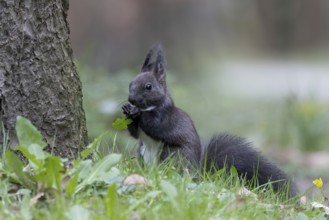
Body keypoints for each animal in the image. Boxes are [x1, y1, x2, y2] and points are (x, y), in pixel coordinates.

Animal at [121, 44, 296, 198]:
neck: (151, 106)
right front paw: (127, 110)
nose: (131, 99)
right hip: (144, 153)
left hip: (174, 155)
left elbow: (154, 125)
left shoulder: (165, 116)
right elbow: (135, 133)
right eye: (130, 83)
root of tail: (198, 173)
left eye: (148, 86)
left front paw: (136, 112)